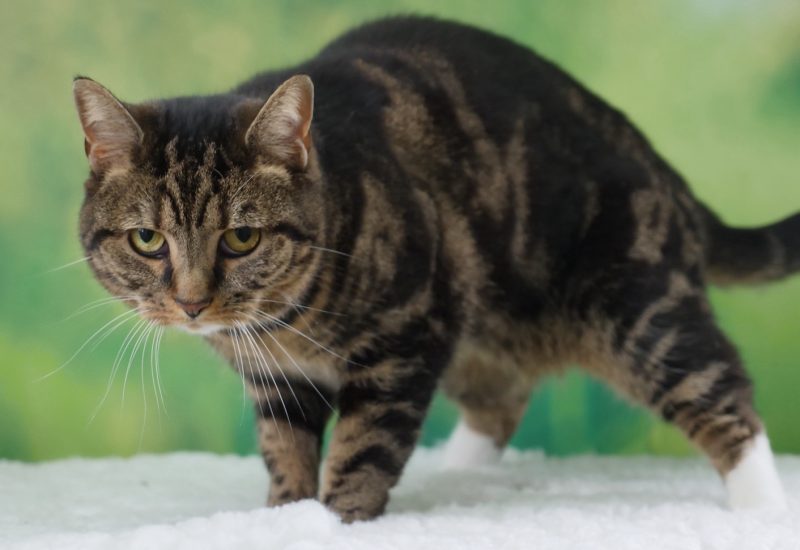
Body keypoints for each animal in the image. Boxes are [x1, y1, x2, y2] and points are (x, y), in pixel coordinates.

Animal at [72, 16, 799, 522]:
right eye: (147, 239)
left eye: (242, 237)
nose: (192, 303)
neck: (283, 322)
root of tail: (664, 170)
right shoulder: (277, 379)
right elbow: (286, 450)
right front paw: (282, 515)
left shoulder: (405, 339)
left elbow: (362, 449)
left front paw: (334, 521)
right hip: (487, 330)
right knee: (499, 403)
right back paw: (458, 468)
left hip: (639, 308)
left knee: (724, 392)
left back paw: (761, 506)